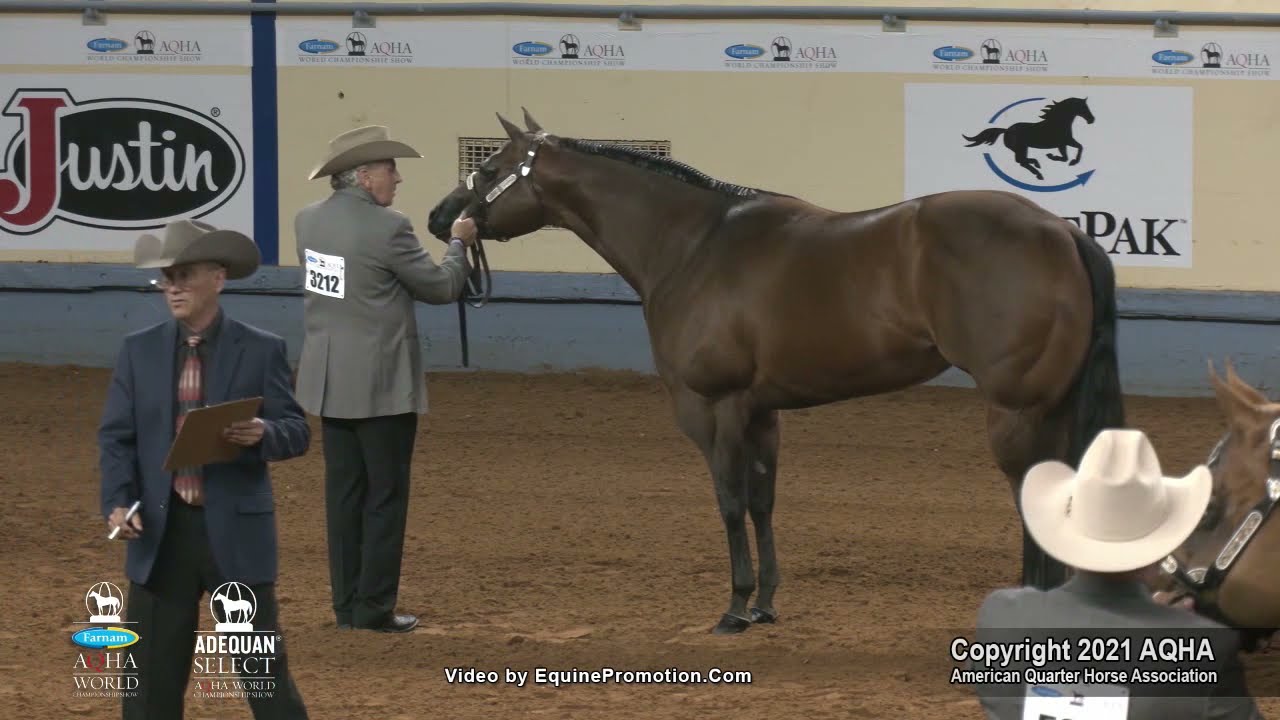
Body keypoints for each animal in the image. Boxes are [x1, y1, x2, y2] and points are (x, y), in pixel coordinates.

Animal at [426, 109, 1126, 634]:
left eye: (488, 169)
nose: (440, 218)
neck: (691, 245)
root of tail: (1061, 232)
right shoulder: (763, 411)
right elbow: (763, 502)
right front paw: (764, 604)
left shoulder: (717, 406)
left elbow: (731, 502)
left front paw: (735, 608)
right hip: (1053, 407)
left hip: (1017, 412)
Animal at [962, 97, 1094, 181]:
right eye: (1083, 107)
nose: (1092, 119)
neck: (1058, 123)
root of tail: (1006, 130)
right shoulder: (1065, 142)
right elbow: (1075, 150)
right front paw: (1068, 160)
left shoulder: (1064, 144)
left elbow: (1069, 154)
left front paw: (1059, 158)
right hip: (1021, 147)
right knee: (1021, 161)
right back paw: (1038, 173)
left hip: (1021, 148)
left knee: (1022, 161)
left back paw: (1036, 164)